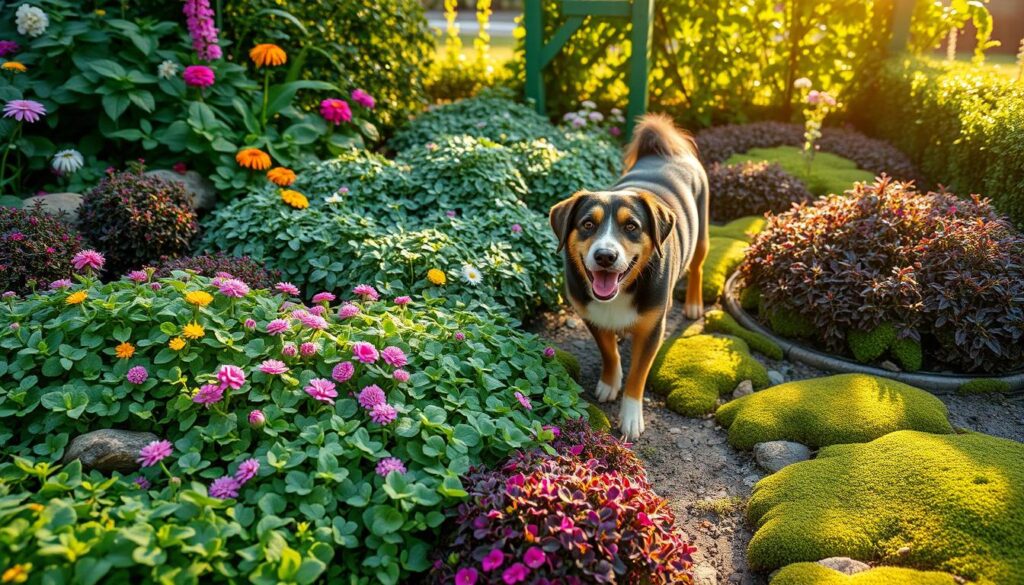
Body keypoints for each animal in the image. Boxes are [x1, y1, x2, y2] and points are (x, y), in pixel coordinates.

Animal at [548, 114, 708, 438]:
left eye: (632, 226)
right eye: (587, 224)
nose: (605, 256)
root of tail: (663, 151)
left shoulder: (652, 329)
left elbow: (638, 375)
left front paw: (631, 416)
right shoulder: (591, 316)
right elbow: (609, 352)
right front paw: (610, 381)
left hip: (702, 234)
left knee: (697, 267)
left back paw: (694, 304)